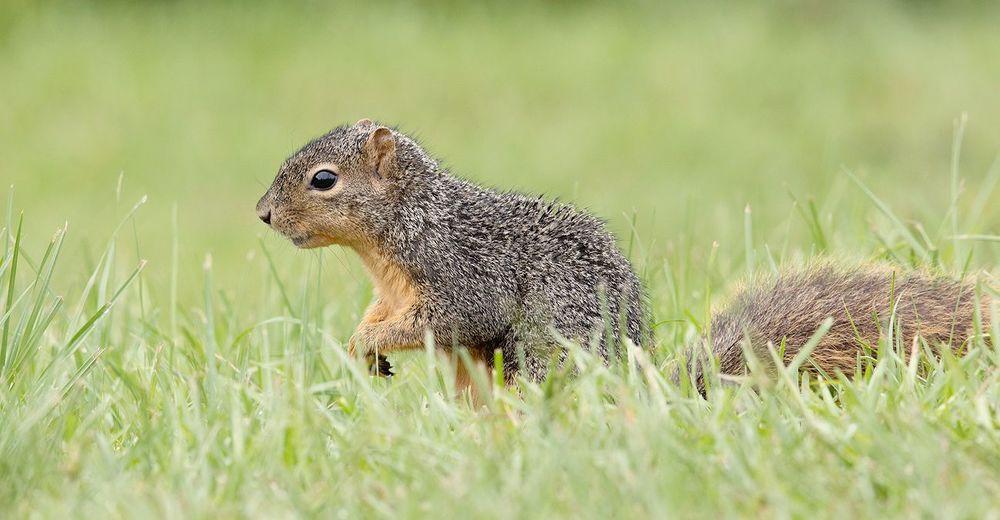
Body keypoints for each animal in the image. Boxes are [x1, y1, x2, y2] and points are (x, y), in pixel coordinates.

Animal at [256, 119, 991, 393]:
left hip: (542, 356)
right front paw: (361, 340)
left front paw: (367, 344)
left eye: (324, 180)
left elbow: (457, 319)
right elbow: (381, 316)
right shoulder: (392, 288)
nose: (262, 214)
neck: (391, 240)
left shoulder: (460, 269)